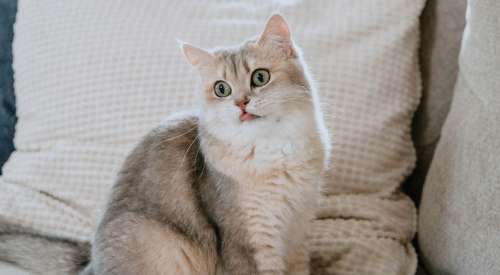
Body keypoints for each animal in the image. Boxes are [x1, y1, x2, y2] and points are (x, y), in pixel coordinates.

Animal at [0, 14, 332, 275]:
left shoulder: (297, 233)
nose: (240, 103)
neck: (274, 150)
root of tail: (90, 263)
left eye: (260, 77)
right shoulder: (246, 240)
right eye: (221, 89)